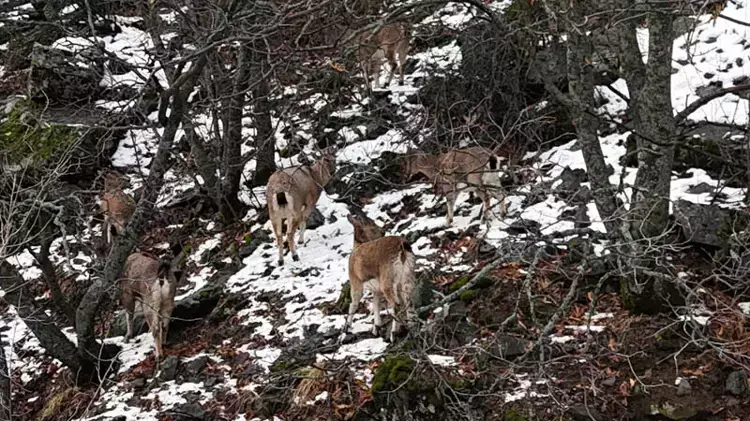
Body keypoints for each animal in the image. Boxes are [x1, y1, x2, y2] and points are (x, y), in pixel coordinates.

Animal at [346, 213, 418, 342]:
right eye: (371, 223)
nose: (382, 230)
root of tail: (402, 248)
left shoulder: (355, 282)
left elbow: (353, 304)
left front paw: (347, 329)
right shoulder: (376, 290)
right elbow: (376, 305)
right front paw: (376, 329)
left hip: (388, 282)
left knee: (396, 305)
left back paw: (393, 334)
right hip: (407, 277)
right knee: (409, 302)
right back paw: (412, 329)